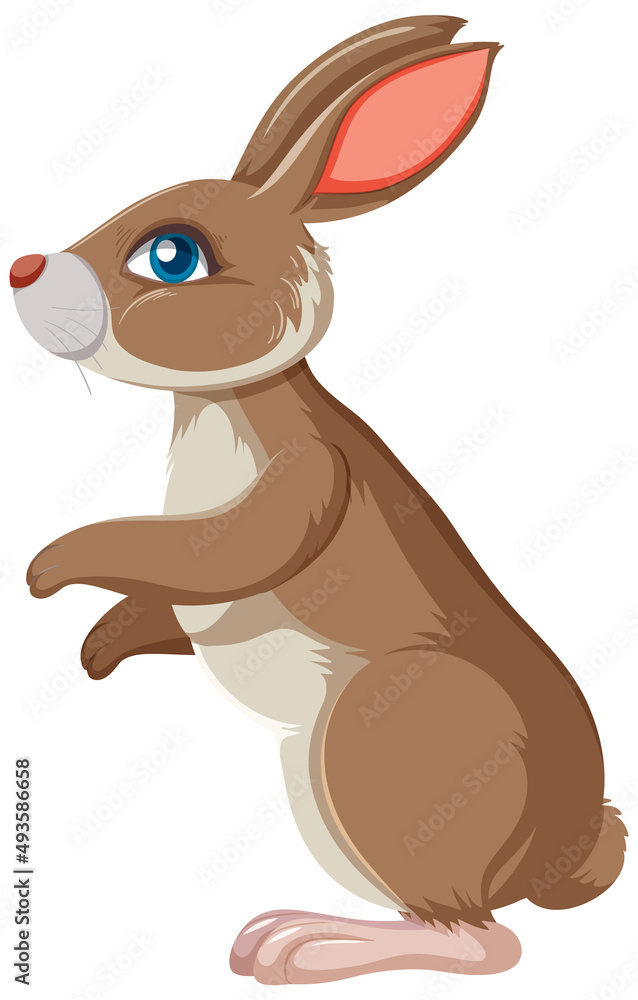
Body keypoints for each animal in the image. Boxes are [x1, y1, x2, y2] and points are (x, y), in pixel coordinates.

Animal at [12, 15, 626, 986]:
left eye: (172, 255)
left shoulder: (301, 483)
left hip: (370, 743)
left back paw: (297, 945)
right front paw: (98, 649)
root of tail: (560, 859)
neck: (226, 399)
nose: (23, 269)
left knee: (485, 940)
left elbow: (197, 549)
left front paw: (49, 567)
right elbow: (167, 597)